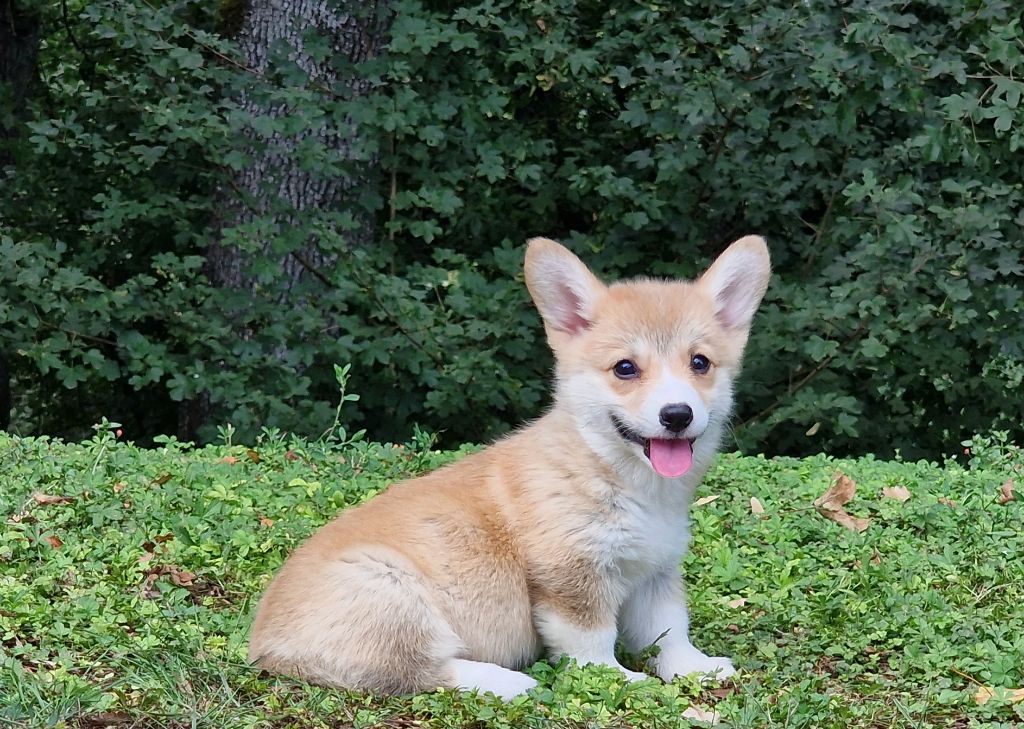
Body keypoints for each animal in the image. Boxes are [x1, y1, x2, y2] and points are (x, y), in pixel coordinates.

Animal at [251, 236, 770, 696]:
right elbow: (591, 643)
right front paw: (618, 679)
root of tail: (263, 646)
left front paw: (693, 667)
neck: (612, 473)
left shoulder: (655, 573)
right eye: (625, 368)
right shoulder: (572, 577)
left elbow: (669, 630)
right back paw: (508, 682)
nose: (677, 414)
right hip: (393, 596)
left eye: (699, 363)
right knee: (422, 672)